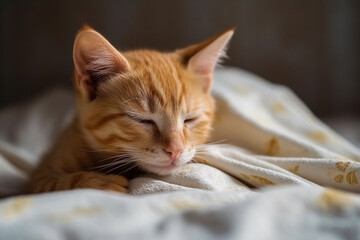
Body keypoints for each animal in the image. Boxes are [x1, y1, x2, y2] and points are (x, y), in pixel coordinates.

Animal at [30, 25, 233, 193]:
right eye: (142, 120)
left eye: (190, 119)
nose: (175, 150)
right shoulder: (37, 177)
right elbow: (54, 183)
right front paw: (99, 182)